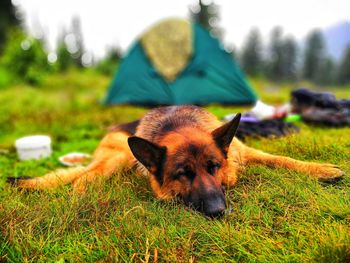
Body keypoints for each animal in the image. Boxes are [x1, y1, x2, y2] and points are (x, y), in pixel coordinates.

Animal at [8, 105, 344, 219]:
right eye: (183, 174)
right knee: (83, 178)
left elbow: (280, 158)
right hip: (117, 157)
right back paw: (80, 202)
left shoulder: (243, 152)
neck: (179, 124)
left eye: (214, 167)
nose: (217, 211)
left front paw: (322, 169)